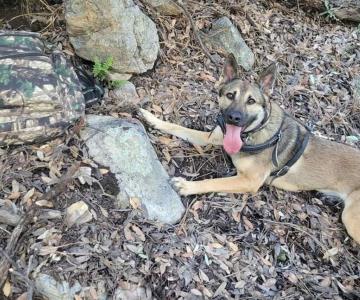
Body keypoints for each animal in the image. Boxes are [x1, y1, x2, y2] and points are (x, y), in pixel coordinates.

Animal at [140, 55, 360, 244]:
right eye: (230, 95)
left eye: (251, 101)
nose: (233, 118)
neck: (255, 133)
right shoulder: (211, 138)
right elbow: (177, 127)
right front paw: (152, 118)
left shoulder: (248, 181)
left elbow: (214, 181)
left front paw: (187, 186)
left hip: (351, 219)